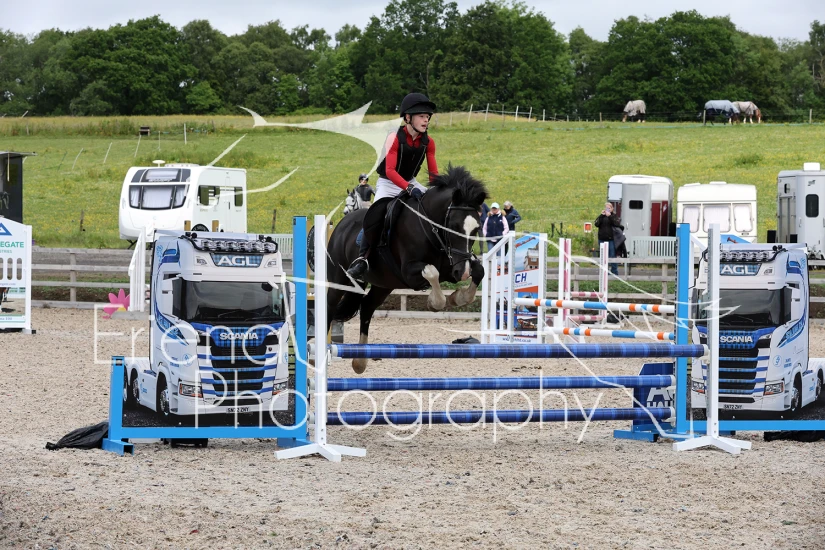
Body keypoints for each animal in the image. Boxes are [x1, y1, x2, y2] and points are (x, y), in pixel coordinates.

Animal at [325, 165, 488, 373]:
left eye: (476, 229)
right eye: (453, 225)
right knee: (330, 306)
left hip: (384, 284)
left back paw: (360, 362)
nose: (463, 272)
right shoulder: (410, 272)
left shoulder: (451, 265)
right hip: (339, 279)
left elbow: (479, 270)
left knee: (367, 306)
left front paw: (457, 297)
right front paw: (435, 303)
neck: (431, 229)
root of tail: (341, 224)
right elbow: (432, 273)